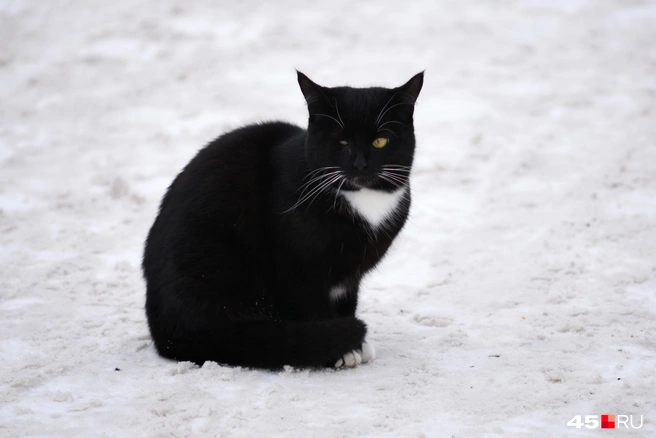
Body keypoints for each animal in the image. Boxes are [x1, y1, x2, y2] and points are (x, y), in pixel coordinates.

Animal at [141, 72, 422, 370]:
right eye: (342, 142)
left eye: (380, 141)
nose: (360, 164)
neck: (363, 201)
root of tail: (162, 332)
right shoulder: (294, 267)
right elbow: (311, 306)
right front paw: (343, 349)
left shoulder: (349, 278)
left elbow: (348, 302)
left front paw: (352, 344)